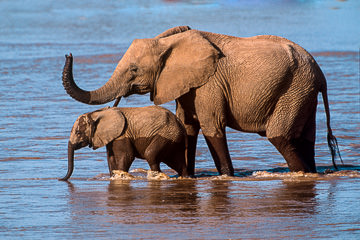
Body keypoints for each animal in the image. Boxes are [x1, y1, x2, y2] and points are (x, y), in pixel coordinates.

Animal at [59, 105, 188, 180]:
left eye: (78, 132)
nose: (60, 179)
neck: (97, 113)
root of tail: (179, 122)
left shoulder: (123, 134)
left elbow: (127, 155)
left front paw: (121, 176)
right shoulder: (111, 137)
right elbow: (110, 158)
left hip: (166, 135)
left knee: (150, 154)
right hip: (174, 138)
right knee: (176, 161)